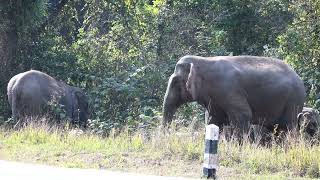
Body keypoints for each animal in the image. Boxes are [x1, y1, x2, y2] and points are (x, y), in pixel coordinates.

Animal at [164, 55, 306, 136]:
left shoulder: (228, 89)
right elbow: (212, 118)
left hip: (293, 101)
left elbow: (244, 114)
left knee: (288, 127)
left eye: (175, 82)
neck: (203, 60)